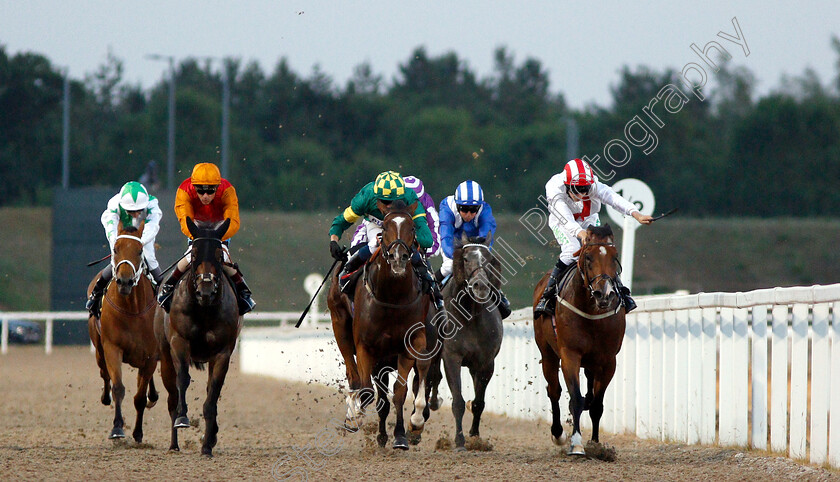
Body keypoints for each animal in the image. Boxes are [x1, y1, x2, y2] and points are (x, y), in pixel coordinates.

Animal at [88, 220, 160, 442]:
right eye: (115, 249)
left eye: (139, 250)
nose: (125, 281)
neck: (132, 309)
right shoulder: (112, 347)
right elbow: (118, 387)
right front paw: (117, 428)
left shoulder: (150, 355)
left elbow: (140, 397)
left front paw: (138, 432)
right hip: (99, 348)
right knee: (104, 373)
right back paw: (105, 397)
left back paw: (153, 396)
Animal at [154, 217, 241, 458]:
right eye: (194, 255)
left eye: (219, 256)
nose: (206, 291)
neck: (204, 310)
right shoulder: (179, 342)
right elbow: (183, 378)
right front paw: (183, 418)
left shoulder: (222, 352)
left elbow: (213, 392)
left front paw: (207, 445)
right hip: (165, 357)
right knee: (172, 397)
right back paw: (174, 444)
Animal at [330, 199, 434, 448]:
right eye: (385, 228)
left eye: (412, 228)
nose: (398, 257)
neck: (392, 297)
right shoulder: (366, 346)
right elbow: (368, 391)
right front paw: (355, 415)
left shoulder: (409, 344)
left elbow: (400, 392)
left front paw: (402, 435)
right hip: (340, 325)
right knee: (353, 374)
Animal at [430, 232, 502, 450]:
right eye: (465, 258)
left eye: (489, 259)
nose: (480, 286)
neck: (470, 314)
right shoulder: (451, 357)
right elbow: (458, 401)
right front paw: (459, 440)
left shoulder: (486, 362)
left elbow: (478, 402)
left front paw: (475, 436)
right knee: (432, 377)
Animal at [532, 223, 624, 456]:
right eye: (588, 256)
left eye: (615, 256)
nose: (604, 294)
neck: (591, 310)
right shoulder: (570, 355)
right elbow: (575, 398)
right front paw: (576, 444)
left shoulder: (608, 360)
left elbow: (597, 404)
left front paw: (596, 444)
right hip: (548, 353)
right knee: (554, 390)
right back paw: (558, 434)